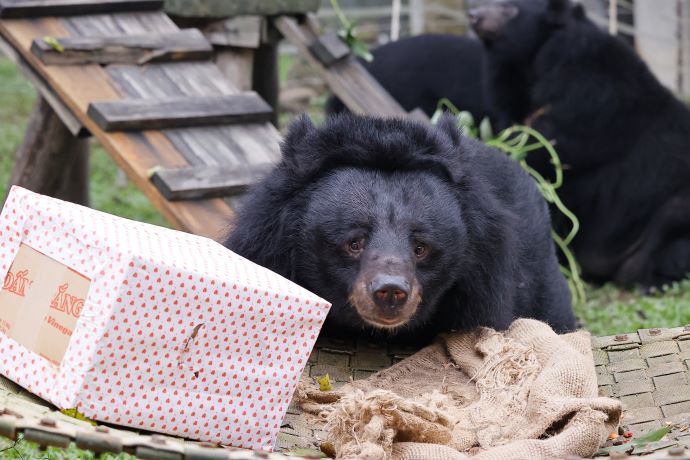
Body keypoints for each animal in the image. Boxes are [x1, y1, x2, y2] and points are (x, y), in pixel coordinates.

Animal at [470, 0, 690, 286]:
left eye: (511, 9)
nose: (473, 15)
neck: (533, 63)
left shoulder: (590, 101)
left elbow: (550, 149)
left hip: (672, 210)